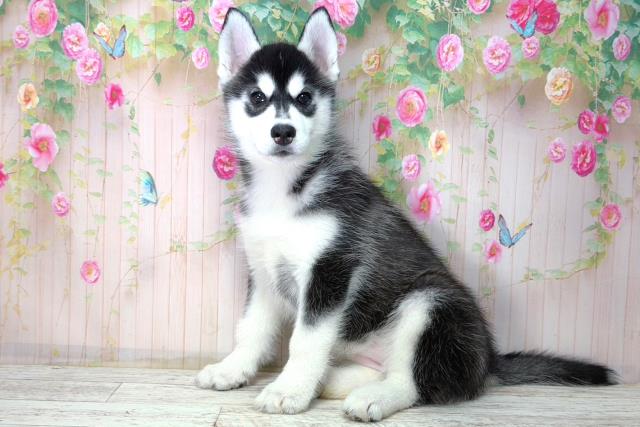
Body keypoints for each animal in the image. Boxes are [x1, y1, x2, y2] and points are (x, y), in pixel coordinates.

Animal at [195, 7, 616, 422]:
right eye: (257, 97)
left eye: (304, 98)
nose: (283, 132)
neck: (284, 189)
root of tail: (489, 361)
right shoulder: (264, 271)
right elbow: (251, 329)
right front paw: (232, 369)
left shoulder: (331, 269)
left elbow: (305, 340)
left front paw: (289, 391)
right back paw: (333, 380)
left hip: (430, 302)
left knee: (413, 381)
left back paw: (374, 398)